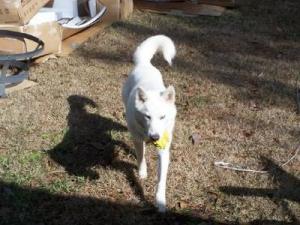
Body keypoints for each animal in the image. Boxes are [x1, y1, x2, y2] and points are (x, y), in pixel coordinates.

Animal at [123, 34, 177, 211]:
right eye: (147, 117)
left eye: (162, 117)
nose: (155, 137)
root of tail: (144, 63)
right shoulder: (137, 139)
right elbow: (141, 157)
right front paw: (142, 173)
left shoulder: (164, 150)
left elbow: (161, 180)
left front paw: (160, 202)